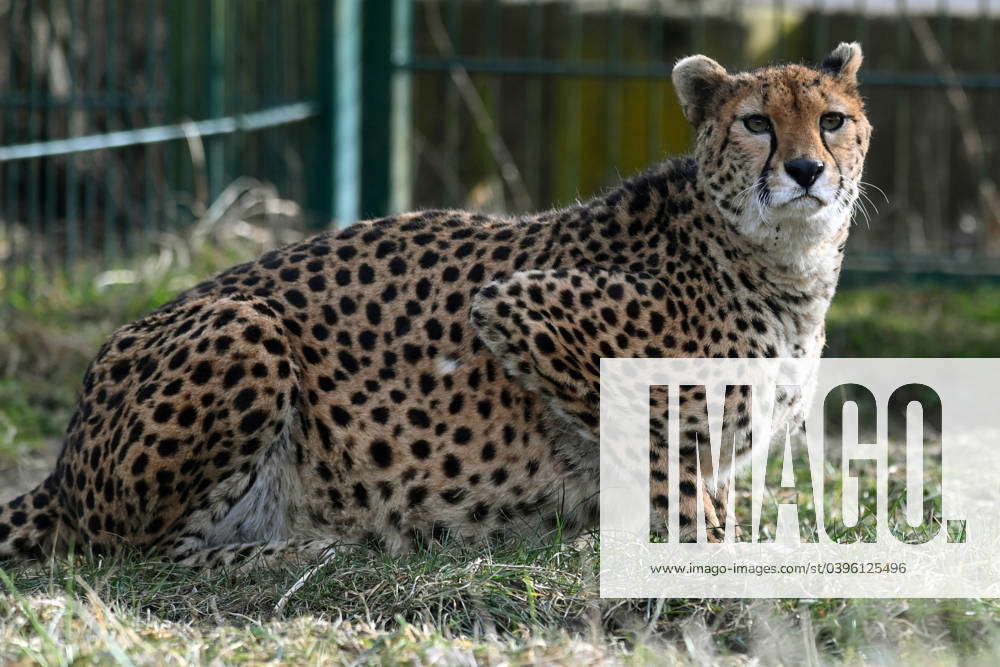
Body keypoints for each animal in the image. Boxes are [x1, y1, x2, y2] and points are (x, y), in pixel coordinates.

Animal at [0, 44, 868, 568]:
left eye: (832, 120)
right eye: (755, 123)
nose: (804, 170)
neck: (781, 265)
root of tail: (64, 458)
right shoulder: (522, 306)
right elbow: (666, 464)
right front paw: (707, 545)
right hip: (244, 325)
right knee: (132, 553)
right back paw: (298, 550)